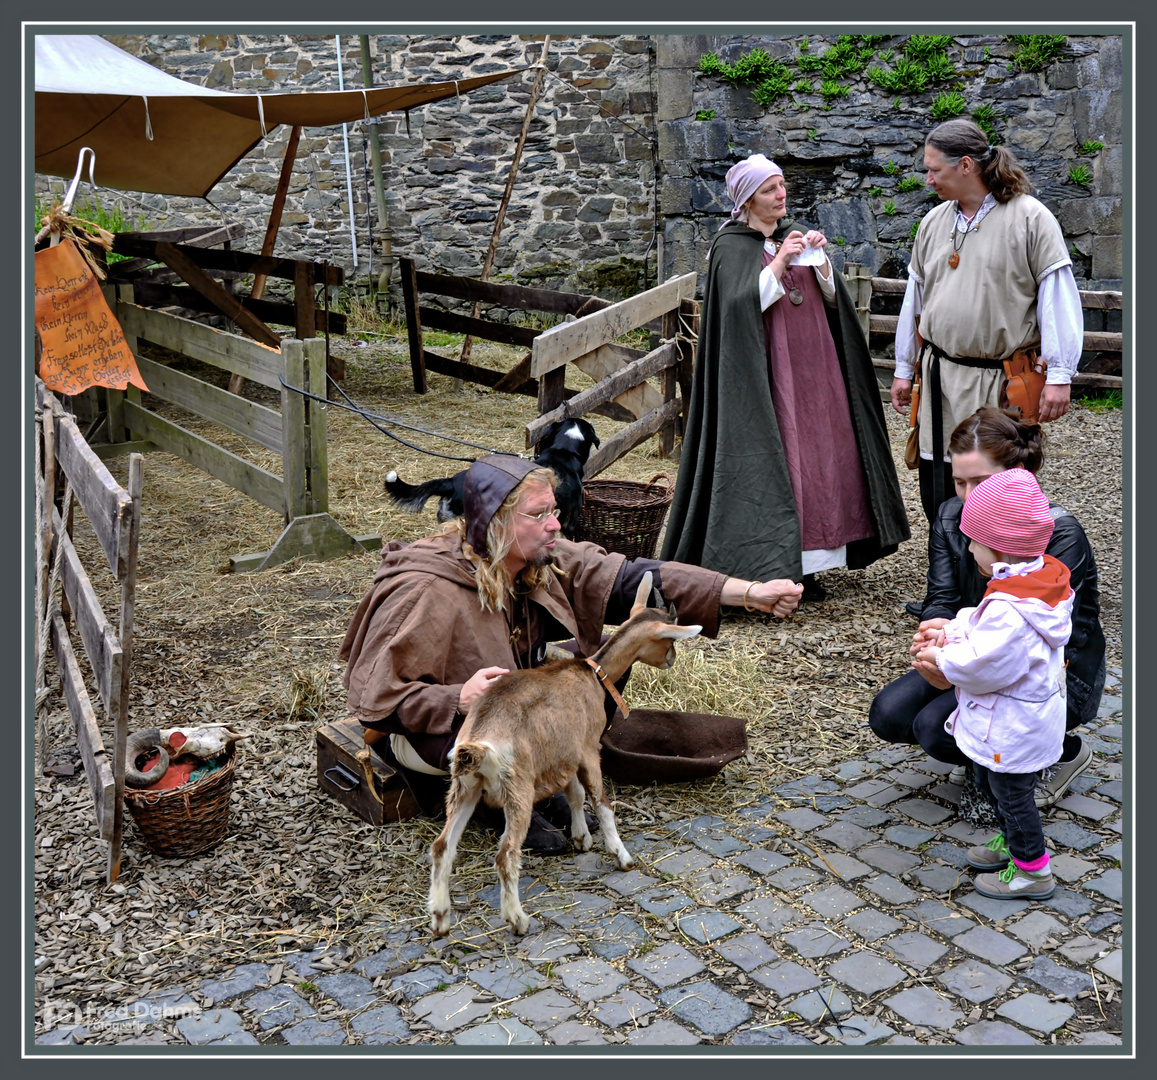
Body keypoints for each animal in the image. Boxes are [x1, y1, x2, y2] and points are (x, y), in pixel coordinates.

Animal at [425, 574, 694, 935]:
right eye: (669, 639)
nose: (672, 659)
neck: (594, 674)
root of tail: (479, 742)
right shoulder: (589, 750)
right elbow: (601, 803)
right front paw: (621, 855)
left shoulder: (565, 752)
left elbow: (576, 795)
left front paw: (581, 838)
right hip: (518, 790)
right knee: (506, 854)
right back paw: (517, 919)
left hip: (465, 787)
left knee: (443, 847)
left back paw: (440, 918)